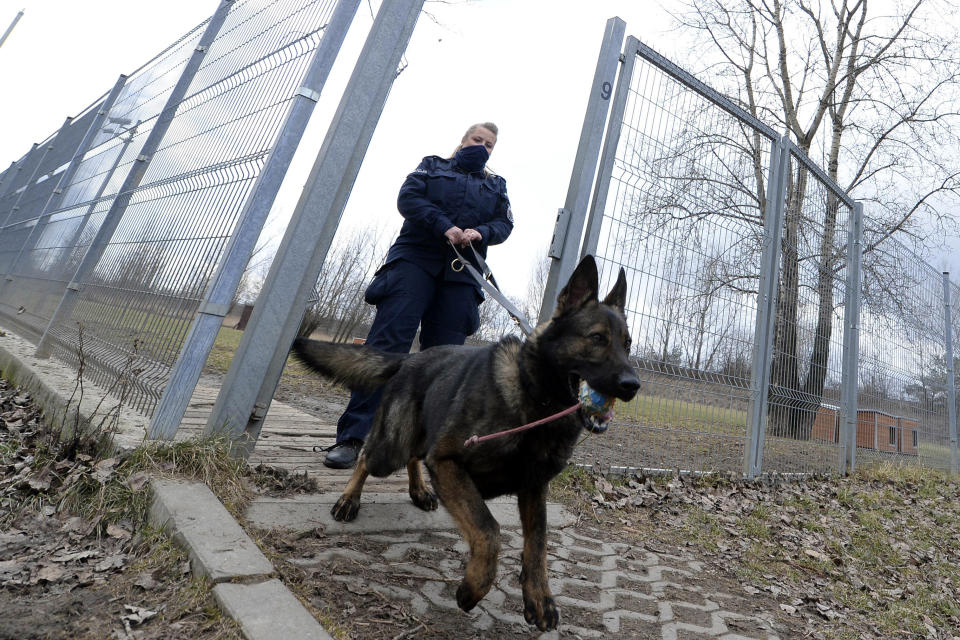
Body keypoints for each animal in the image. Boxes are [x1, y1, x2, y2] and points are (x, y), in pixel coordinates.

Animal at [288, 255, 640, 632]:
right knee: (369, 457)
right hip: (391, 448)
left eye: (628, 344)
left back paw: (419, 490)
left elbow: (538, 544)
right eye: (597, 338)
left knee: (413, 457)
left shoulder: (533, 488)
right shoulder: (448, 463)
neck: (535, 401)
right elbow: (489, 531)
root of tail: (412, 358)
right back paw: (349, 499)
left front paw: (539, 598)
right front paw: (473, 588)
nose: (633, 385)